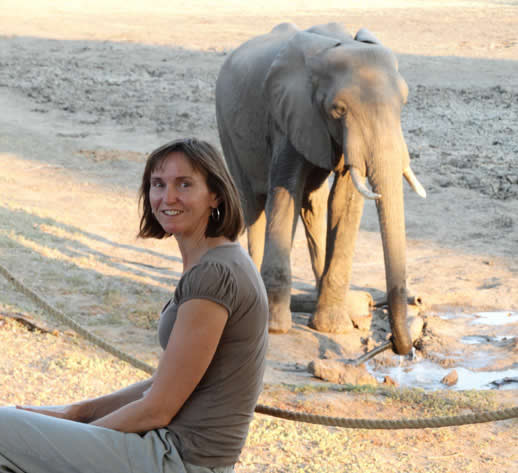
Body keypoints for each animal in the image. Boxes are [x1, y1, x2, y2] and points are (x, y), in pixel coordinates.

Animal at [215, 22, 426, 354]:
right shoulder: (287, 115)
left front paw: (333, 328)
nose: (399, 346)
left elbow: (344, 201)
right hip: (227, 126)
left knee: (312, 202)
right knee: (254, 206)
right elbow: (285, 189)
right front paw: (276, 328)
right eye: (338, 110)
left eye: (403, 103)